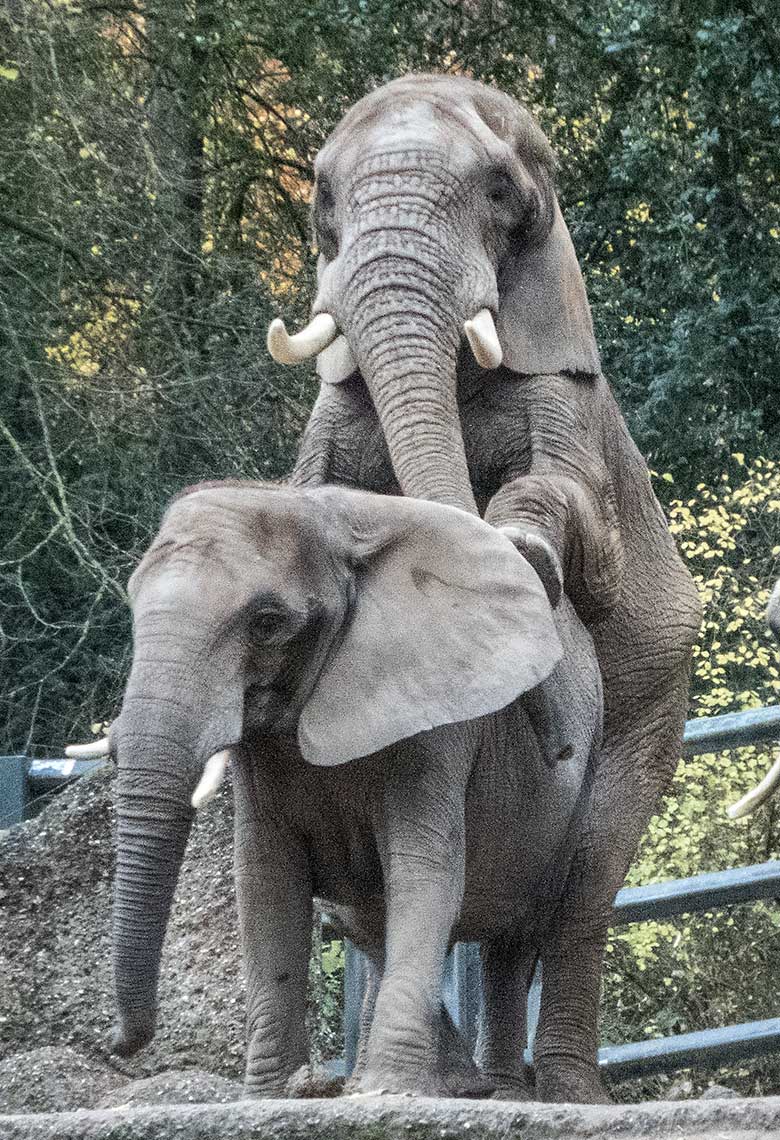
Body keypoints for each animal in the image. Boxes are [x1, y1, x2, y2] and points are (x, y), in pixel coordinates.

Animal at [72, 483, 606, 1103]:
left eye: (267, 621)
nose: (116, 1043)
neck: (332, 523)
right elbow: (265, 884)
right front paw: (275, 1095)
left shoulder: (434, 707)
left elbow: (423, 869)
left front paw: (388, 1091)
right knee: (366, 924)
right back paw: (445, 1083)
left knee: (516, 934)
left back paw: (488, 1090)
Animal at [266, 75, 702, 1098]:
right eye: (324, 199)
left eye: (500, 192)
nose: (553, 741)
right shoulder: (330, 414)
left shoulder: (569, 400)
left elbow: (572, 508)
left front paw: (521, 552)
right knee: (460, 928)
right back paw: (477, 1086)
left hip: (652, 712)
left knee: (584, 886)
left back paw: (563, 1091)